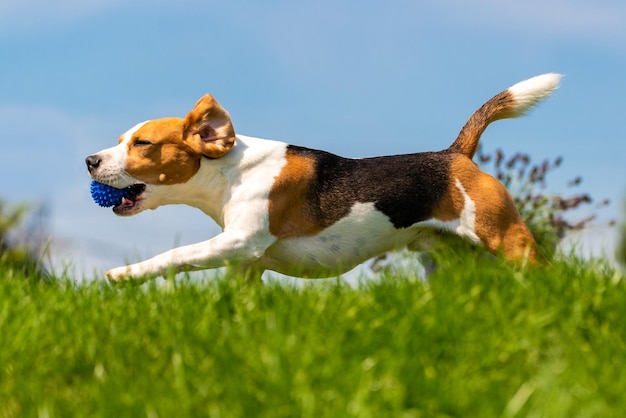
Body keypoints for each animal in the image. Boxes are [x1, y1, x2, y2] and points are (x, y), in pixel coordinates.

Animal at [85, 73, 560, 282]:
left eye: (142, 144)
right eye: (122, 139)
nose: (89, 161)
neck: (230, 171)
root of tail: (455, 155)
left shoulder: (239, 242)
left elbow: (178, 255)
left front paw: (126, 275)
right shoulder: (245, 263)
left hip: (507, 239)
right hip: (447, 260)